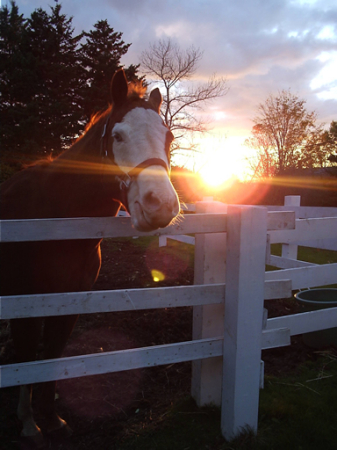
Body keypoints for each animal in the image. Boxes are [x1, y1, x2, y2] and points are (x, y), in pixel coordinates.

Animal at [0, 68, 178, 448]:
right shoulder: (25, 304)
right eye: (118, 136)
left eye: (168, 137)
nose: (161, 206)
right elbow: (27, 355)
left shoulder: (69, 304)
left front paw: (51, 419)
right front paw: (28, 423)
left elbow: (51, 354)